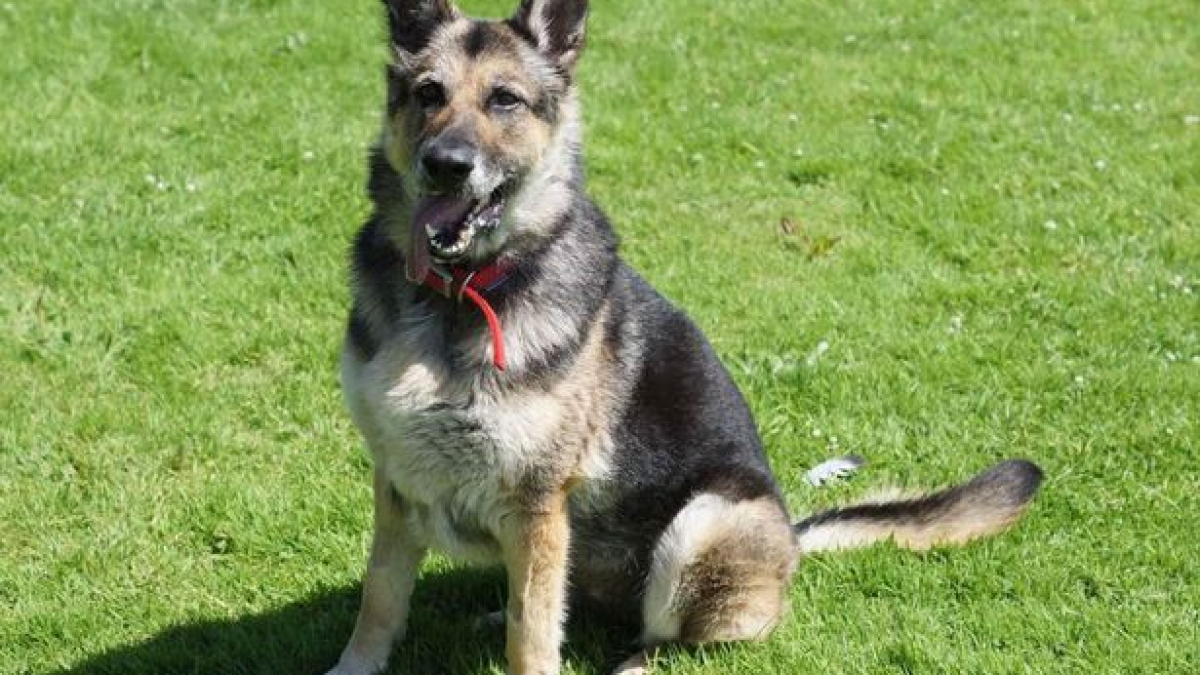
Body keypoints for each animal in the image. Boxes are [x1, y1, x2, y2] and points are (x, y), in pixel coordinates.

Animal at [326, 1, 1041, 672]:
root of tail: (792, 538)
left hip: (704, 521)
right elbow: (381, 596)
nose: (445, 166)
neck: (458, 293)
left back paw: (636, 661)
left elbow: (531, 637)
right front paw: (354, 666)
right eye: (429, 93)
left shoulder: (537, 503)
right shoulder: (396, 479)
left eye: (505, 99)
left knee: (672, 637)